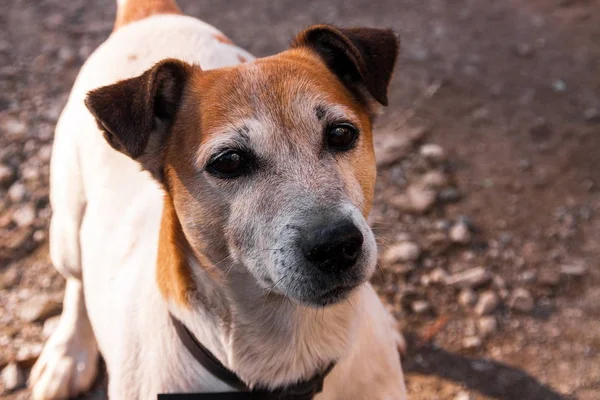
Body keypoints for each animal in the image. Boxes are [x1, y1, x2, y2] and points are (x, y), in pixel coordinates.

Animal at [28, 0, 406, 398]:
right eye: (229, 161)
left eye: (341, 134)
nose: (336, 245)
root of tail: (152, 14)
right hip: (67, 229)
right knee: (76, 281)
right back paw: (68, 353)